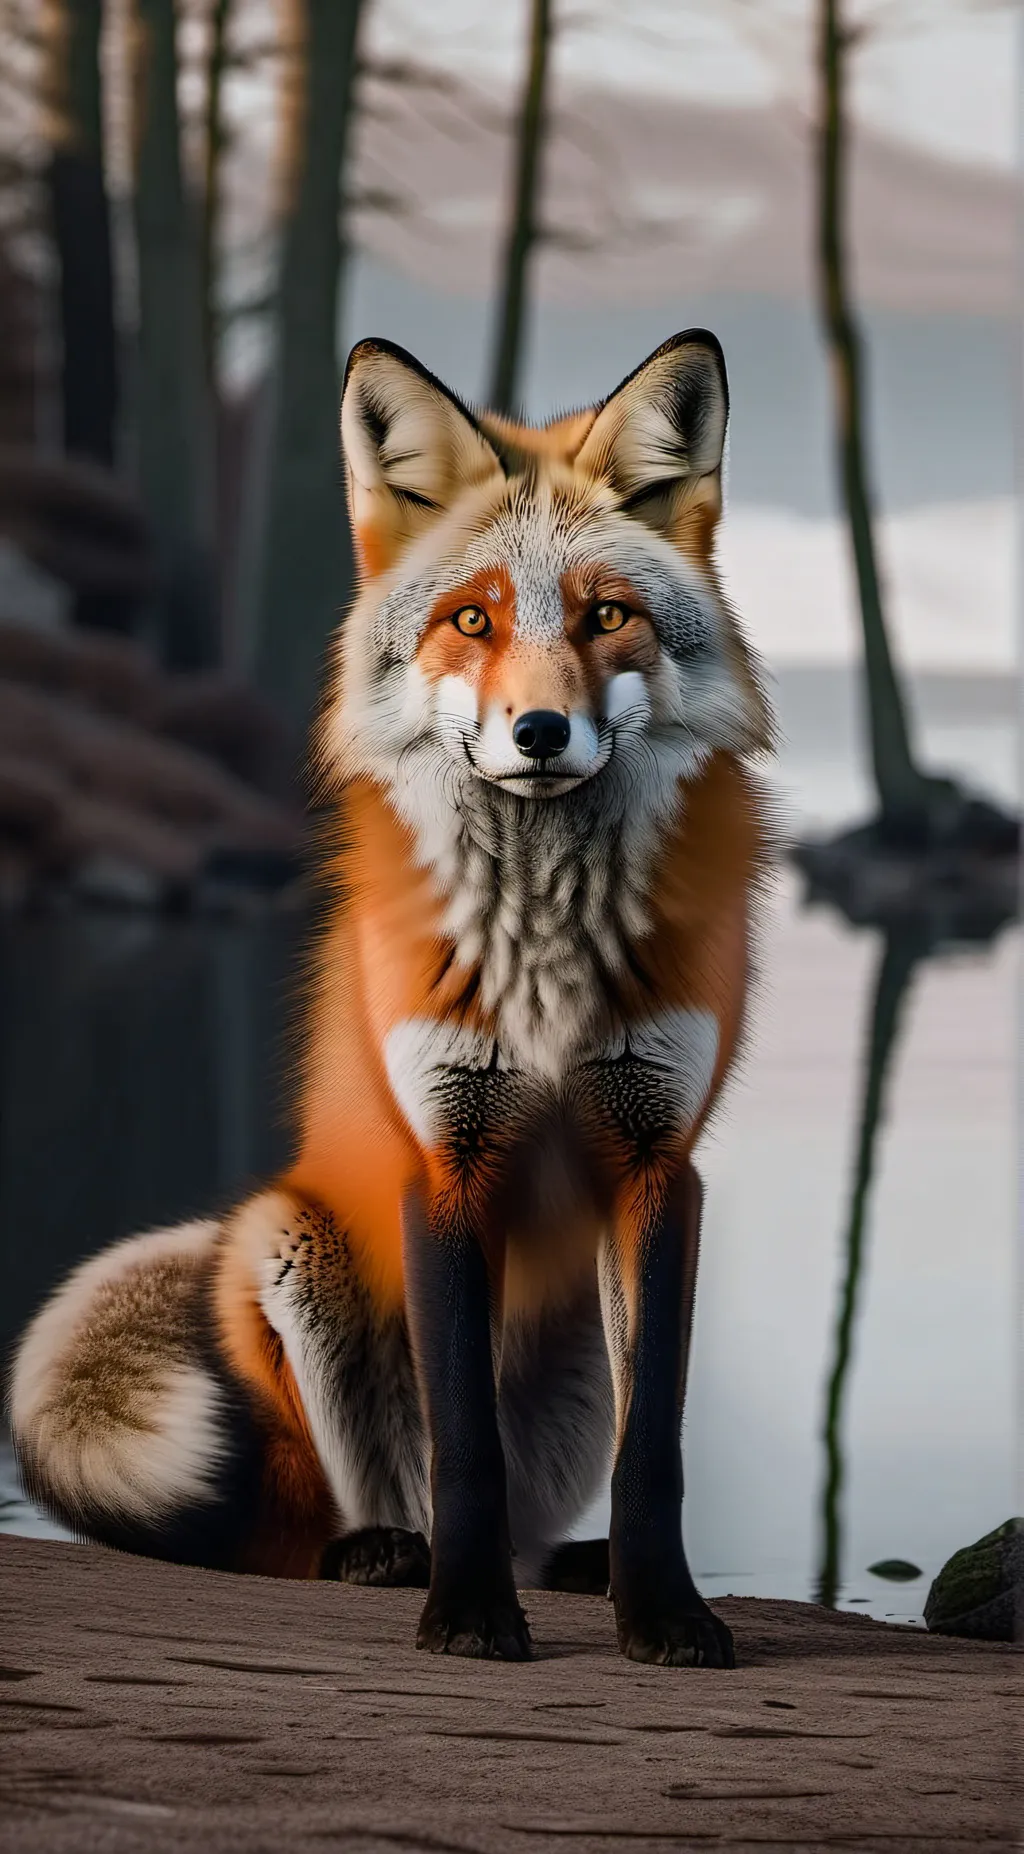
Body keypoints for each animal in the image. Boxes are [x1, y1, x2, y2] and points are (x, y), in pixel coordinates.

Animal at [9, 331, 773, 1667]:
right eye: (472, 619)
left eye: (607, 616)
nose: (540, 730)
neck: (543, 954)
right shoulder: (446, 1159)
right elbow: (460, 1444)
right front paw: (466, 1619)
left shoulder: (656, 1164)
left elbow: (655, 1453)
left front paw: (663, 1614)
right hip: (291, 1245)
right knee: (320, 1517)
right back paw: (380, 1553)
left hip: (571, 1342)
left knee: (543, 1503)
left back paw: (565, 1565)